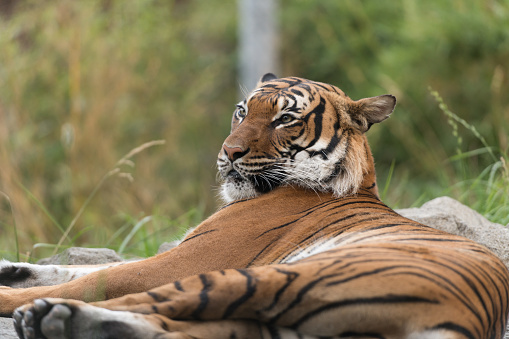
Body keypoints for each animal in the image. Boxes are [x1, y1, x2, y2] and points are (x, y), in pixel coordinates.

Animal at [0, 75, 508, 339]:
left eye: (285, 119)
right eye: (243, 111)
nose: (229, 151)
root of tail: (471, 318)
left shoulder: (186, 259)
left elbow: (96, 278)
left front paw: (14, 290)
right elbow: (81, 268)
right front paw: (11, 268)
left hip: (272, 276)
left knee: (148, 304)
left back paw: (48, 316)